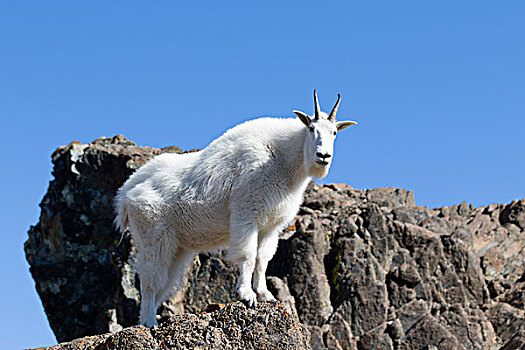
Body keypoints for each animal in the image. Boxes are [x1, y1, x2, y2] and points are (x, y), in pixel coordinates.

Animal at [112, 90, 354, 326]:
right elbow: (248, 256)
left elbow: (263, 259)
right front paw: (246, 295)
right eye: (312, 129)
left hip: (177, 246)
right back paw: (149, 322)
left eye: (334, 132)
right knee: (150, 279)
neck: (282, 161)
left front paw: (265, 295)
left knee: (164, 281)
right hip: (153, 236)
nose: (323, 156)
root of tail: (125, 195)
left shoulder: (271, 226)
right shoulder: (246, 214)